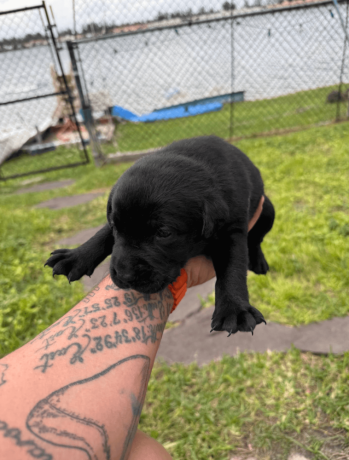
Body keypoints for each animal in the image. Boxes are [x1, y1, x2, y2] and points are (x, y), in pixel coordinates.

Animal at [45, 136, 274, 334]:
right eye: (116, 226)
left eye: (164, 233)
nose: (125, 275)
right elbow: (102, 235)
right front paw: (75, 257)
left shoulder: (231, 230)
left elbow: (232, 269)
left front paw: (234, 309)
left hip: (267, 209)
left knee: (256, 239)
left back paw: (258, 262)